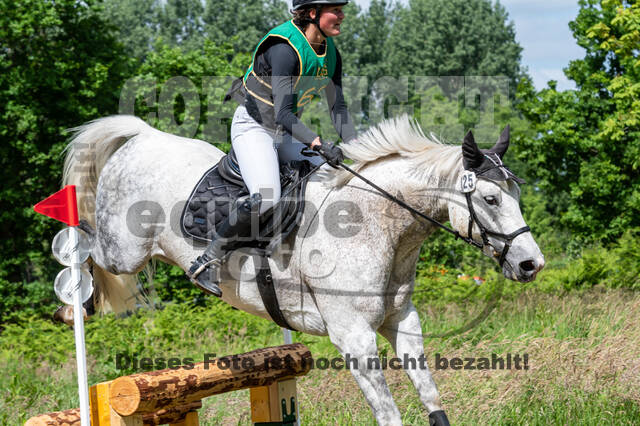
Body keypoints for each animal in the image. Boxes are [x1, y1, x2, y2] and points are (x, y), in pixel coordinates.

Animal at [62, 114, 544, 425]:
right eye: (491, 199)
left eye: (516, 195)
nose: (531, 264)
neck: (376, 223)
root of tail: (142, 136)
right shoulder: (354, 337)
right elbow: (388, 413)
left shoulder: (402, 321)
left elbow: (430, 394)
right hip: (125, 249)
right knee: (88, 244)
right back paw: (73, 298)